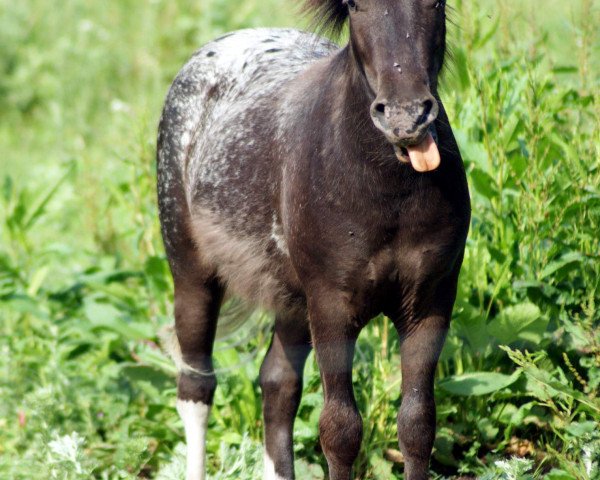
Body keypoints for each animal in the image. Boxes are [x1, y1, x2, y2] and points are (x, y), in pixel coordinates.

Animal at [157, 1, 472, 478]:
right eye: (356, 6)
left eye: (435, 3)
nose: (405, 117)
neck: (388, 192)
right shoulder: (331, 308)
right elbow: (340, 430)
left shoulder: (429, 306)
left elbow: (417, 425)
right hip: (193, 275)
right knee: (196, 385)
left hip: (292, 302)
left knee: (277, 383)